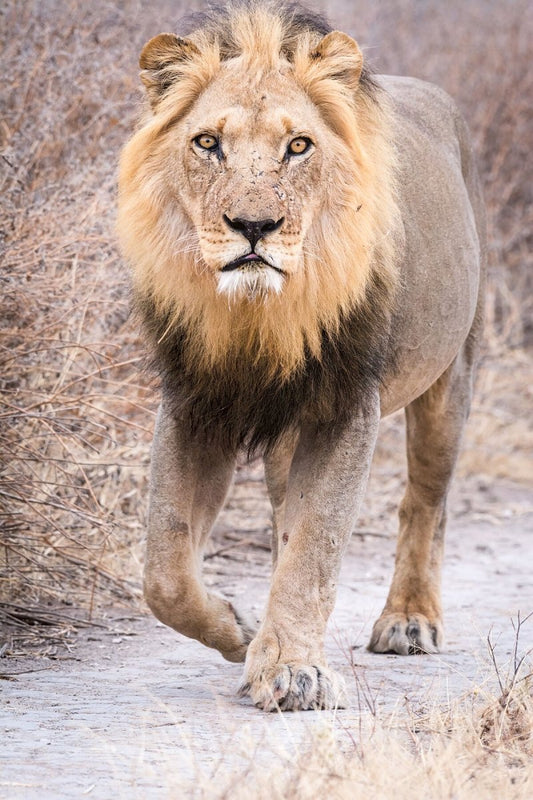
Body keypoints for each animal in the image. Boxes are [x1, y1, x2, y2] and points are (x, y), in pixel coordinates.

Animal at [118, 0, 484, 712]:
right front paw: (241, 631)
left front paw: (292, 670)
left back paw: (409, 619)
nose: (253, 227)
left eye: (298, 146)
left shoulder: (345, 406)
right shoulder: (195, 402)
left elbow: (317, 544)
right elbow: (165, 570)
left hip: (450, 379)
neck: (257, 315)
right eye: (208, 143)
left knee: (425, 501)